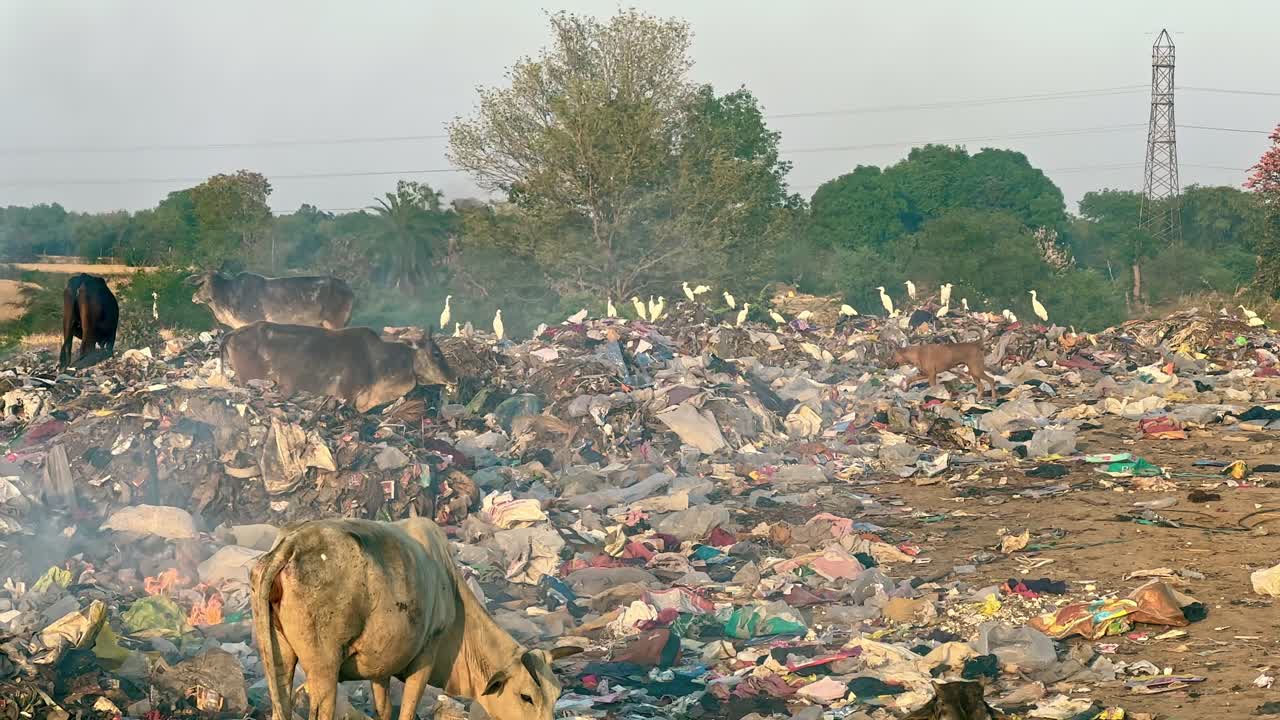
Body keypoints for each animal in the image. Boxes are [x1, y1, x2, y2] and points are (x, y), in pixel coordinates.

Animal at [251, 517, 577, 720]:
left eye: (557, 695)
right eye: (526, 697)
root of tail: (293, 543)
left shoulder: (380, 665)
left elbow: (384, 709)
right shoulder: (426, 654)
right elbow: (407, 710)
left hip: (277, 654)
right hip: (324, 667)